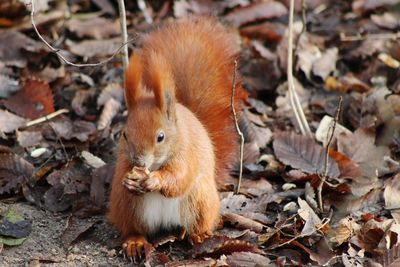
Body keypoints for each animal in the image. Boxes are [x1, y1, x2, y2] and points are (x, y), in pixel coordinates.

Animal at [108, 17, 244, 260]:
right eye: (124, 134)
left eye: (160, 136)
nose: (139, 161)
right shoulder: (124, 159)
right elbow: (124, 171)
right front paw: (128, 180)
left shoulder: (186, 155)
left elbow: (180, 177)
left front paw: (155, 180)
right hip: (125, 205)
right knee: (133, 228)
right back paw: (134, 241)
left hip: (201, 200)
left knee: (198, 223)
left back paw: (200, 236)